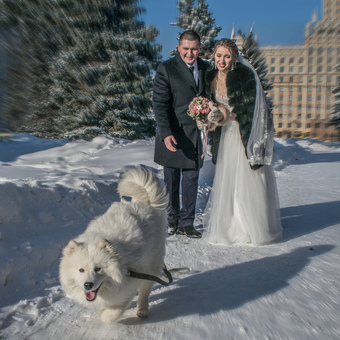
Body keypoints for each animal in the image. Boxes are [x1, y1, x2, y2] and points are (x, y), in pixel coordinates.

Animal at [60, 166, 169, 322]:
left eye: (98, 269)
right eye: (81, 270)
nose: (88, 285)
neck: (123, 266)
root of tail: (146, 203)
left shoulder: (131, 284)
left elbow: (113, 312)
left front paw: (103, 313)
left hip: (152, 266)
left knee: (145, 290)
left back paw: (142, 310)